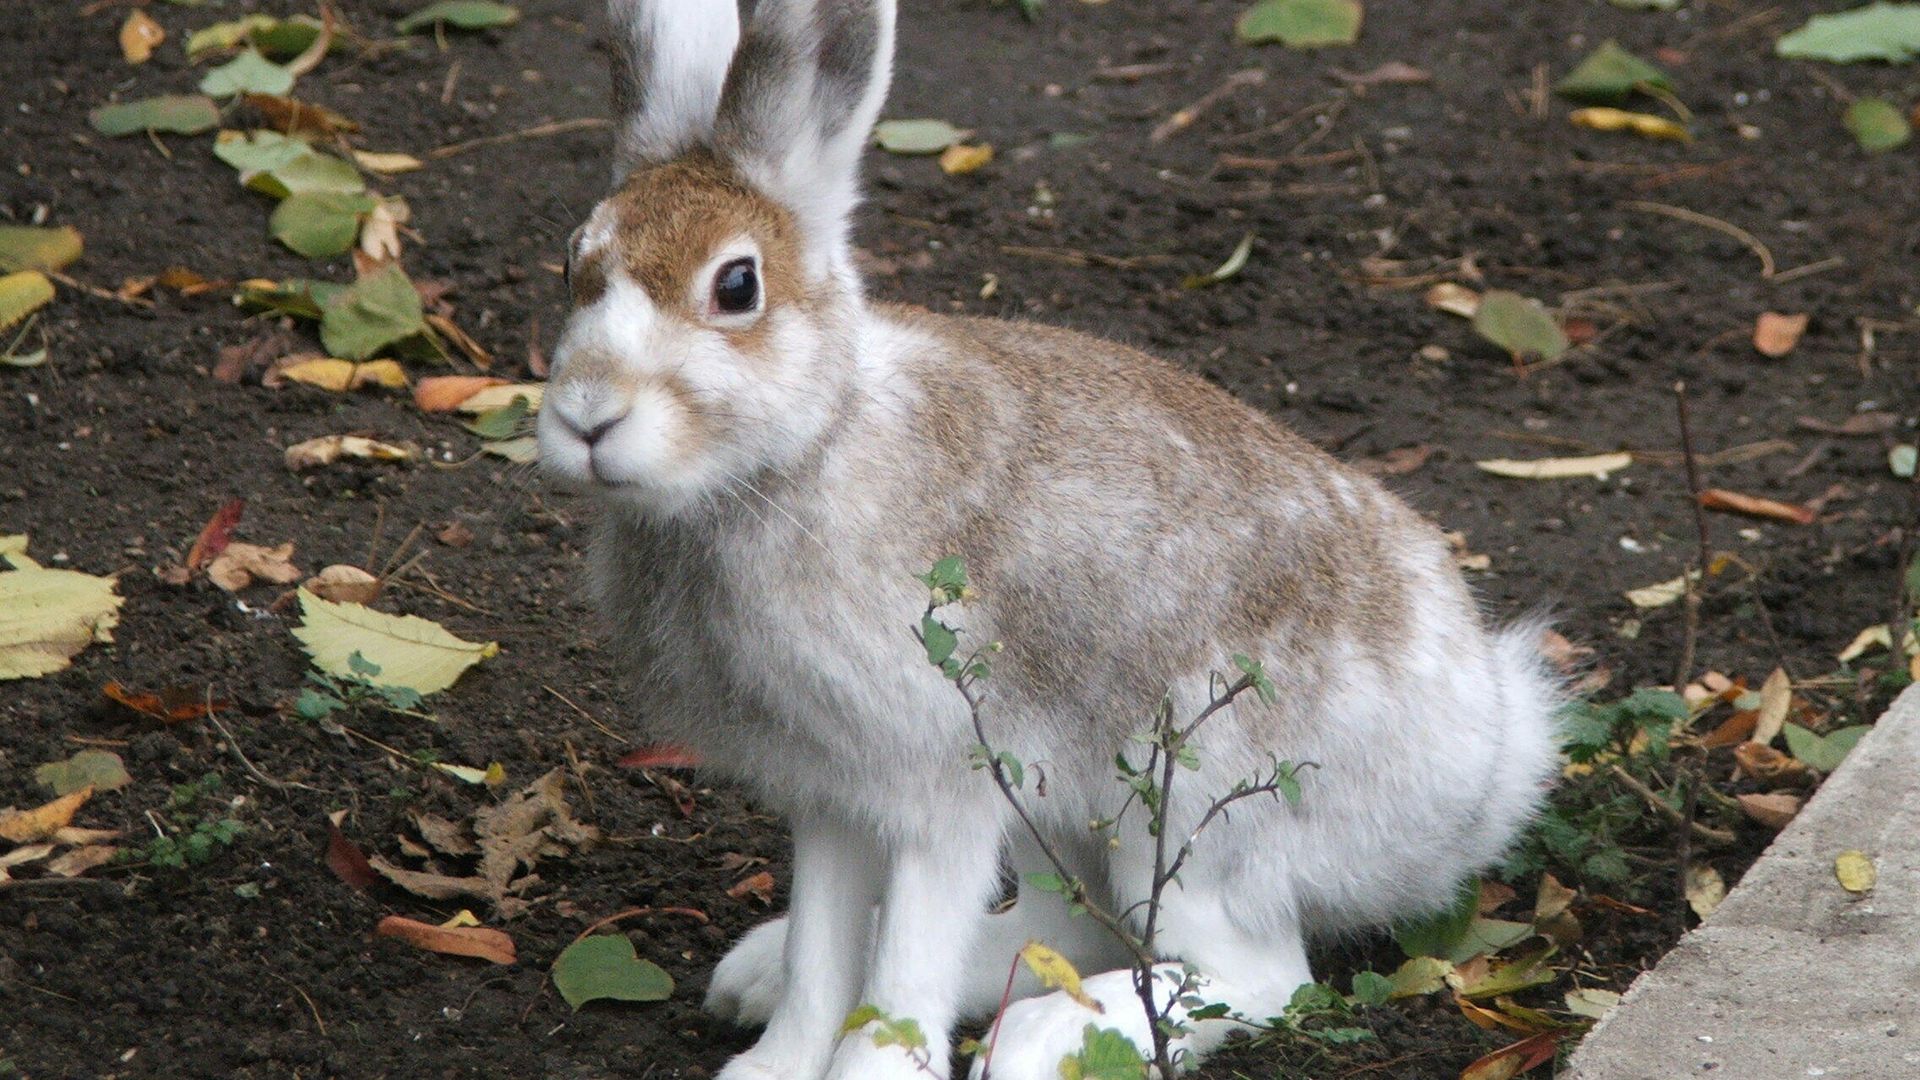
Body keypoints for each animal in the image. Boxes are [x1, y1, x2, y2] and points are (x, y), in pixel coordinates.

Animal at [536, 1, 1563, 1078]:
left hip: (1193, 805)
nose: (588, 416)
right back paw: (764, 972)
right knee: (1064, 930)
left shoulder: (941, 786)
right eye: (572, 263)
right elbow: (825, 960)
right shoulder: (829, 795)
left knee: (1251, 976)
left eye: (737, 286)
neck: (808, 451)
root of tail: (1481, 768)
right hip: (1067, 811)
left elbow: (901, 981)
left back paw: (1042, 1038)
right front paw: (777, 1058)